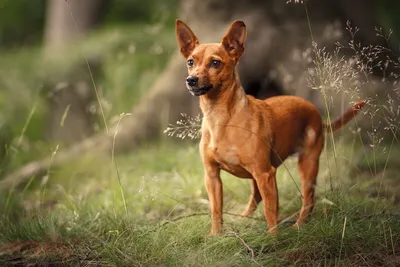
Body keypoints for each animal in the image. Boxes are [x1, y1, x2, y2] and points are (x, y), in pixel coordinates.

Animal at [176, 19, 366, 236]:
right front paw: (215, 236)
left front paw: (273, 238)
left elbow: (269, 211)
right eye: (191, 62)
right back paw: (243, 220)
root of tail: (316, 113)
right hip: (261, 176)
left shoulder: (265, 173)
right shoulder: (212, 177)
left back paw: (298, 225)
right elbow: (216, 210)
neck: (220, 118)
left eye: (215, 63)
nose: (191, 80)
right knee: (258, 198)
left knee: (307, 199)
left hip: (306, 165)